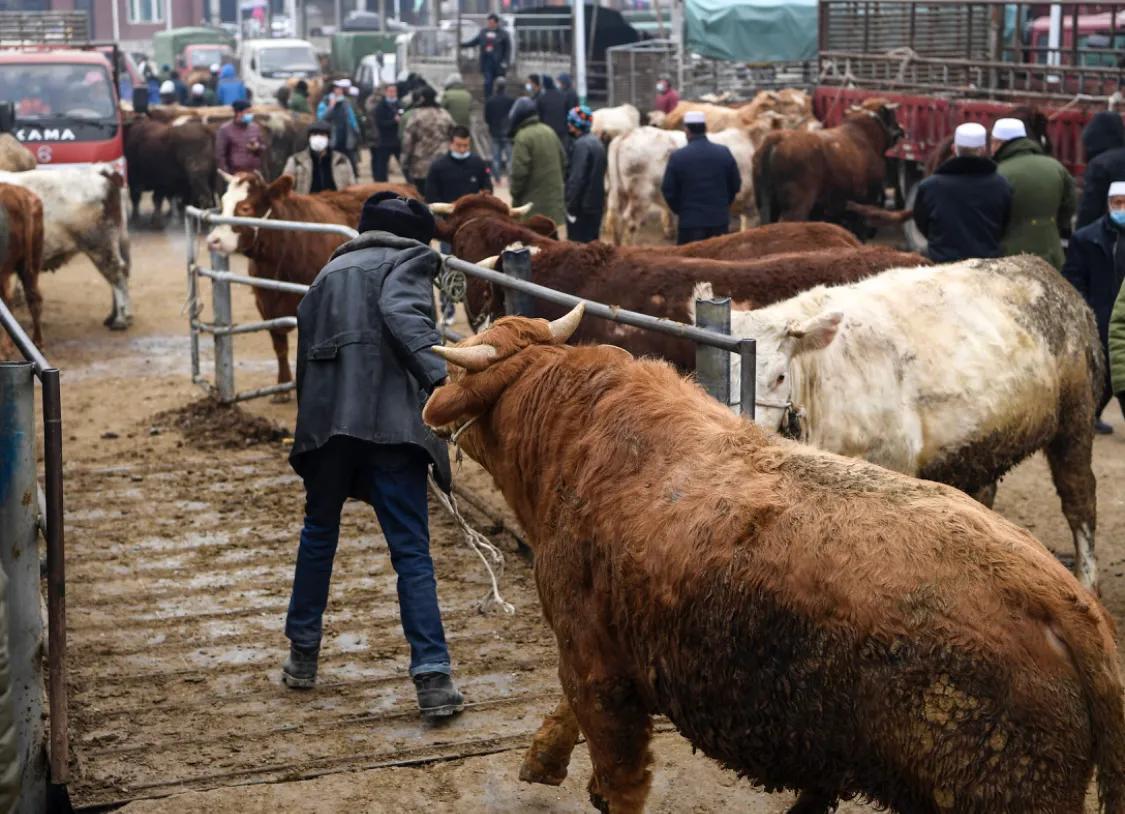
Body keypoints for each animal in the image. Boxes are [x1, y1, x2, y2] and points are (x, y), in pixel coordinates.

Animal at [204, 172, 420, 398]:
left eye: (245, 208)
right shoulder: (264, 301)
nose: (213, 240)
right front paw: (282, 386)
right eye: (223, 202)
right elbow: (279, 344)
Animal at [420, 305, 1125, 814]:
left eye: (453, 376)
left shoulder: (592, 659)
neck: (571, 437)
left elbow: (618, 772)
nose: (430, 395)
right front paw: (544, 757)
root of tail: (1065, 602)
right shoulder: (604, 650)